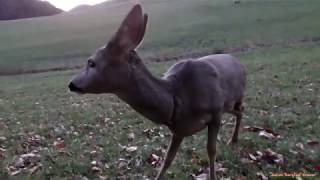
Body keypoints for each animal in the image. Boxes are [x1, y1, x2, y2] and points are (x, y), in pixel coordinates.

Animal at [69, 4, 246, 180]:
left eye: (91, 62)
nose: (72, 84)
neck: (177, 99)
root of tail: (237, 61)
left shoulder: (215, 112)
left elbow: (211, 151)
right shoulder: (179, 129)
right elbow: (167, 160)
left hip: (232, 100)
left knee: (240, 110)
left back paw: (233, 139)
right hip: (228, 105)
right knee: (239, 111)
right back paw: (234, 139)